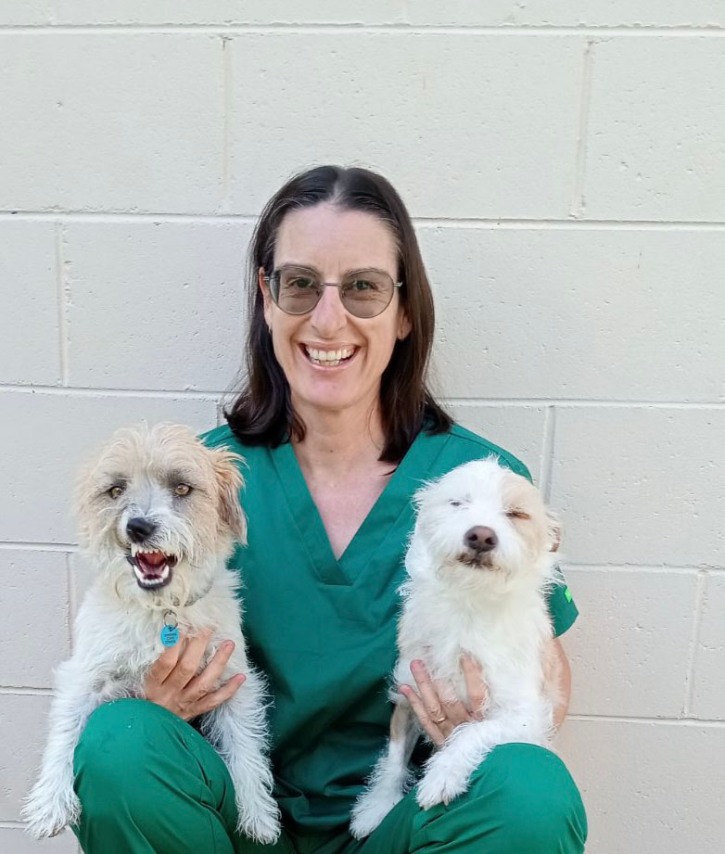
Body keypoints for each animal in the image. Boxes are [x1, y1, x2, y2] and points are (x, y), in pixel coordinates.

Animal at [21, 424, 278, 844]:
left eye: (182, 488)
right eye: (115, 490)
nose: (138, 527)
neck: (161, 611)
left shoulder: (233, 678)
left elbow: (245, 743)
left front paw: (258, 812)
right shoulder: (85, 675)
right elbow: (64, 729)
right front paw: (50, 802)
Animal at [350, 458, 560, 840]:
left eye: (515, 514)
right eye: (458, 503)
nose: (481, 535)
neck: (469, 604)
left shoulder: (526, 716)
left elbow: (473, 731)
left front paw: (443, 775)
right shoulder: (409, 696)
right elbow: (393, 757)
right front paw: (377, 806)